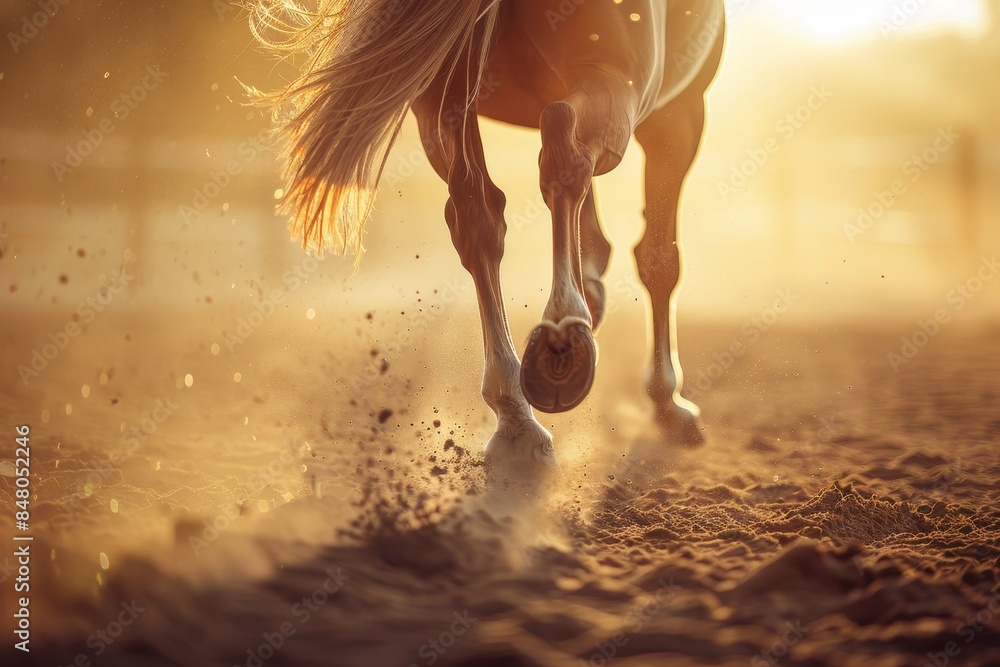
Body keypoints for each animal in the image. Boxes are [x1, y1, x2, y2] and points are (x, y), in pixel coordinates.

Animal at [248, 0, 726, 488]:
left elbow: (596, 238)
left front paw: (593, 291)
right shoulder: (680, 113)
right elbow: (659, 260)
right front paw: (668, 401)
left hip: (444, 98)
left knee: (478, 216)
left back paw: (516, 417)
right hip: (623, 78)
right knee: (562, 143)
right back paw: (562, 339)